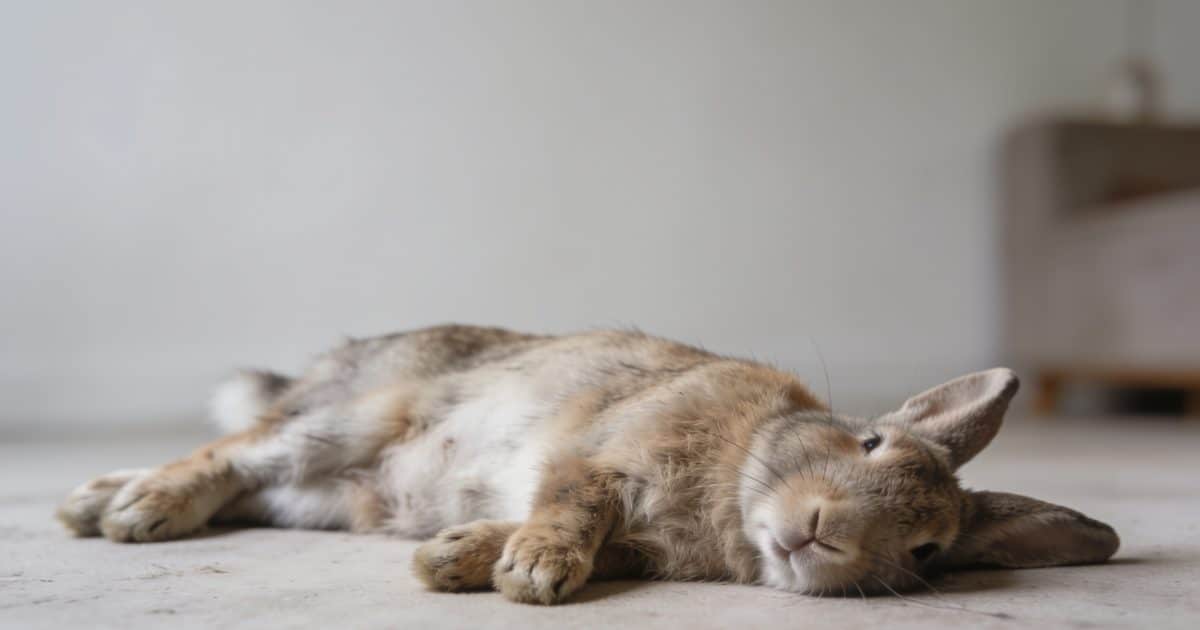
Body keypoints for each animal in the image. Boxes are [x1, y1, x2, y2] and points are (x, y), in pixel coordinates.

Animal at [56, 324, 1119, 604]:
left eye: (929, 549)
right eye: (868, 445)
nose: (824, 533)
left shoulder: (635, 536)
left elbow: (577, 532)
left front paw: (458, 557)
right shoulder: (601, 458)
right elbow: (574, 506)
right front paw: (531, 573)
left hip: (323, 499)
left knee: (252, 485)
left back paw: (101, 501)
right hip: (346, 421)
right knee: (231, 453)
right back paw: (128, 508)